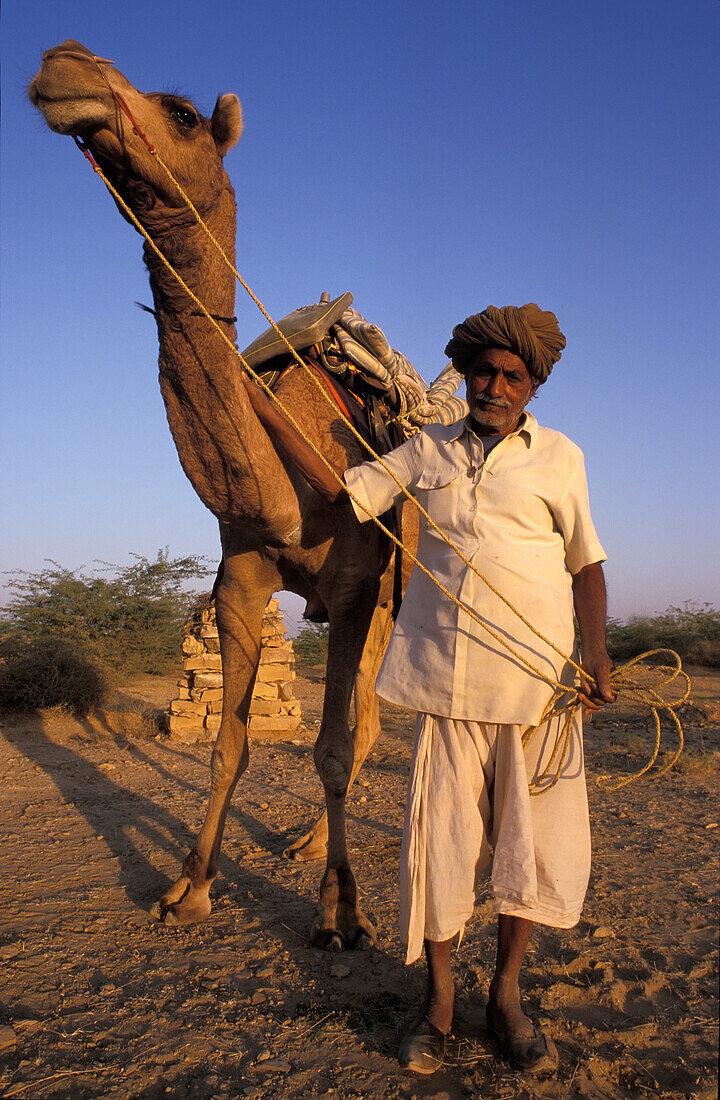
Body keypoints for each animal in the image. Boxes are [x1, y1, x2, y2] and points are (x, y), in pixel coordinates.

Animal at [32, 40, 417, 954]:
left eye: (178, 113)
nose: (64, 62)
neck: (286, 483)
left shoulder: (356, 587)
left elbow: (328, 746)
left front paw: (340, 911)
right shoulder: (240, 578)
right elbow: (229, 744)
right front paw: (189, 888)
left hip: (402, 592)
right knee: (368, 719)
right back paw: (302, 840)